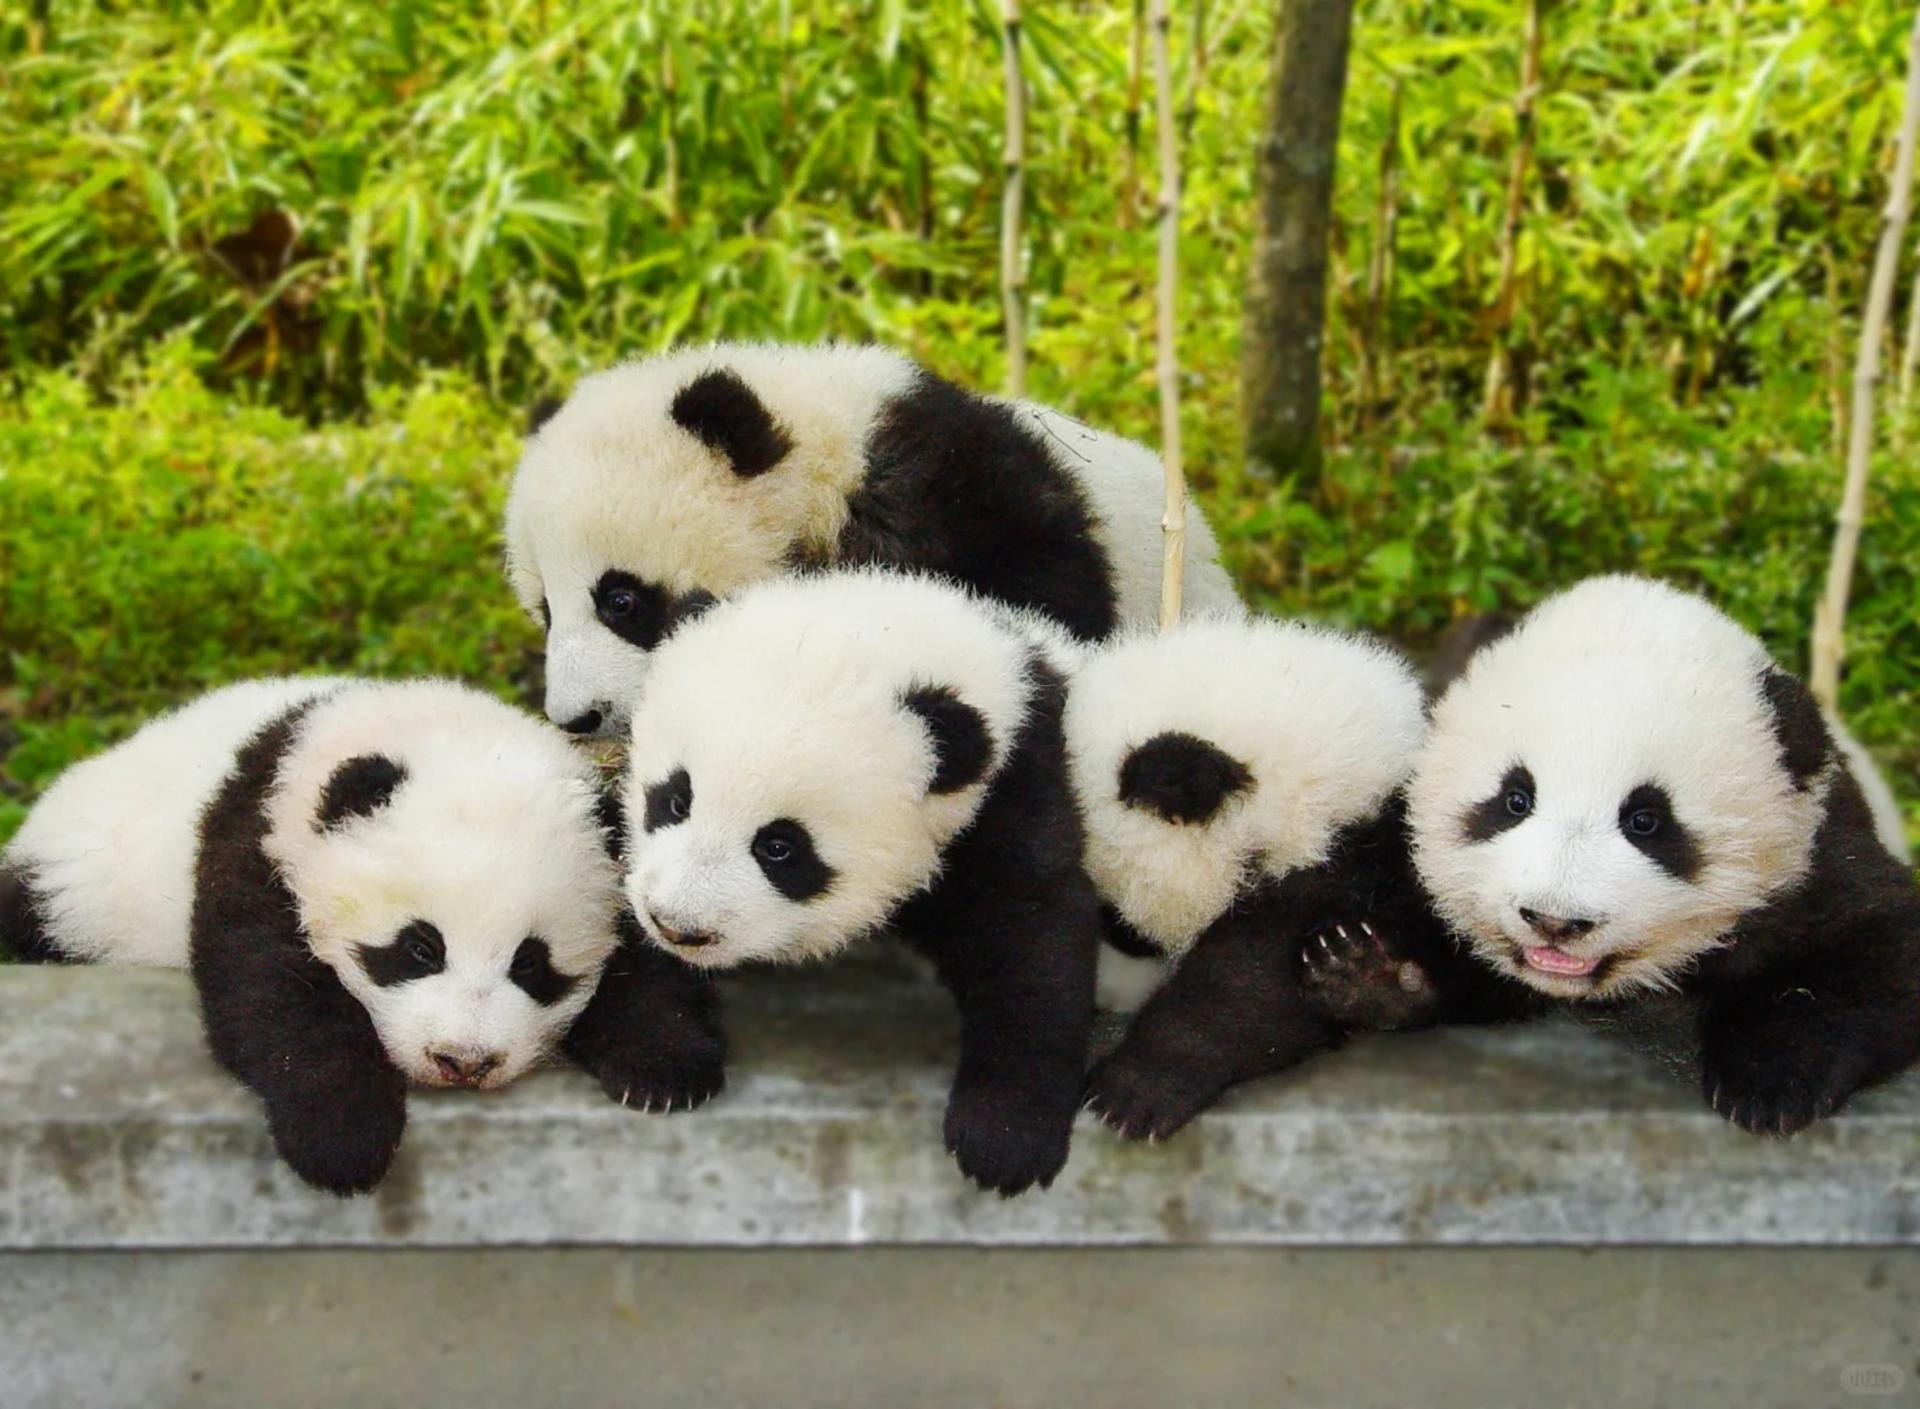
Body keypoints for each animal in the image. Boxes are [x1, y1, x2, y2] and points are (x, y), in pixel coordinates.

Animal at [0, 677, 684, 1194]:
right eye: (418, 949)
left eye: (530, 965)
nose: (464, 1062)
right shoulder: (258, 841)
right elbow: (272, 991)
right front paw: (342, 1139)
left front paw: (660, 1070)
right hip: (76, 888)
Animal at [599, 567, 1103, 1196]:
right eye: (673, 799)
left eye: (780, 848)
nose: (678, 927)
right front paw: (658, 1061)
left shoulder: (1011, 791)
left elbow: (1028, 936)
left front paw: (1005, 1137)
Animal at [1312, 575, 1920, 1136]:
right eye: (1515, 799)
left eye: (1645, 821)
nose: (1554, 921)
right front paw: (1372, 973)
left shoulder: (1815, 854)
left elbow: (1877, 951)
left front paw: (1770, 1082)